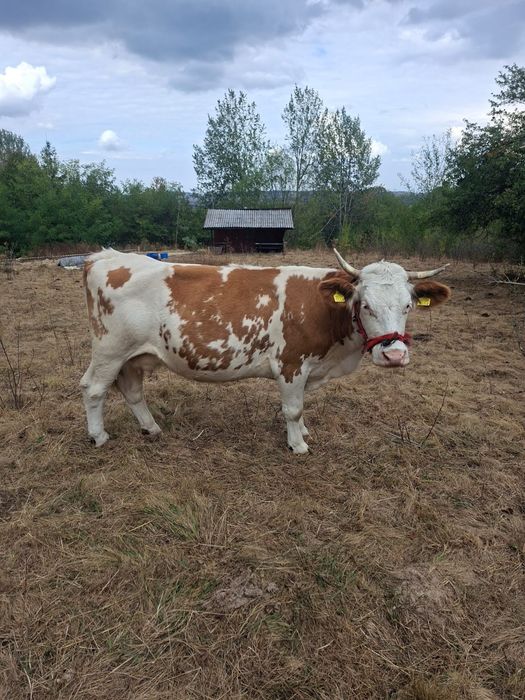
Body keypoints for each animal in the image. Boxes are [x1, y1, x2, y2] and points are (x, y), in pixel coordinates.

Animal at [80, 248, 451, 453]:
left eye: (408, 305)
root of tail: (108, 256)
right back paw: (98, 436)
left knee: (131, 390)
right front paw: (298, 444)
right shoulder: (291, 364)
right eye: (365, 305)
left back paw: (152, 428)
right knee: (93, 389)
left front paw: (303, 433)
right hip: (110, 350)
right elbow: (293, 409)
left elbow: (301, 406)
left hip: (134, 356)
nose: (394, 355)